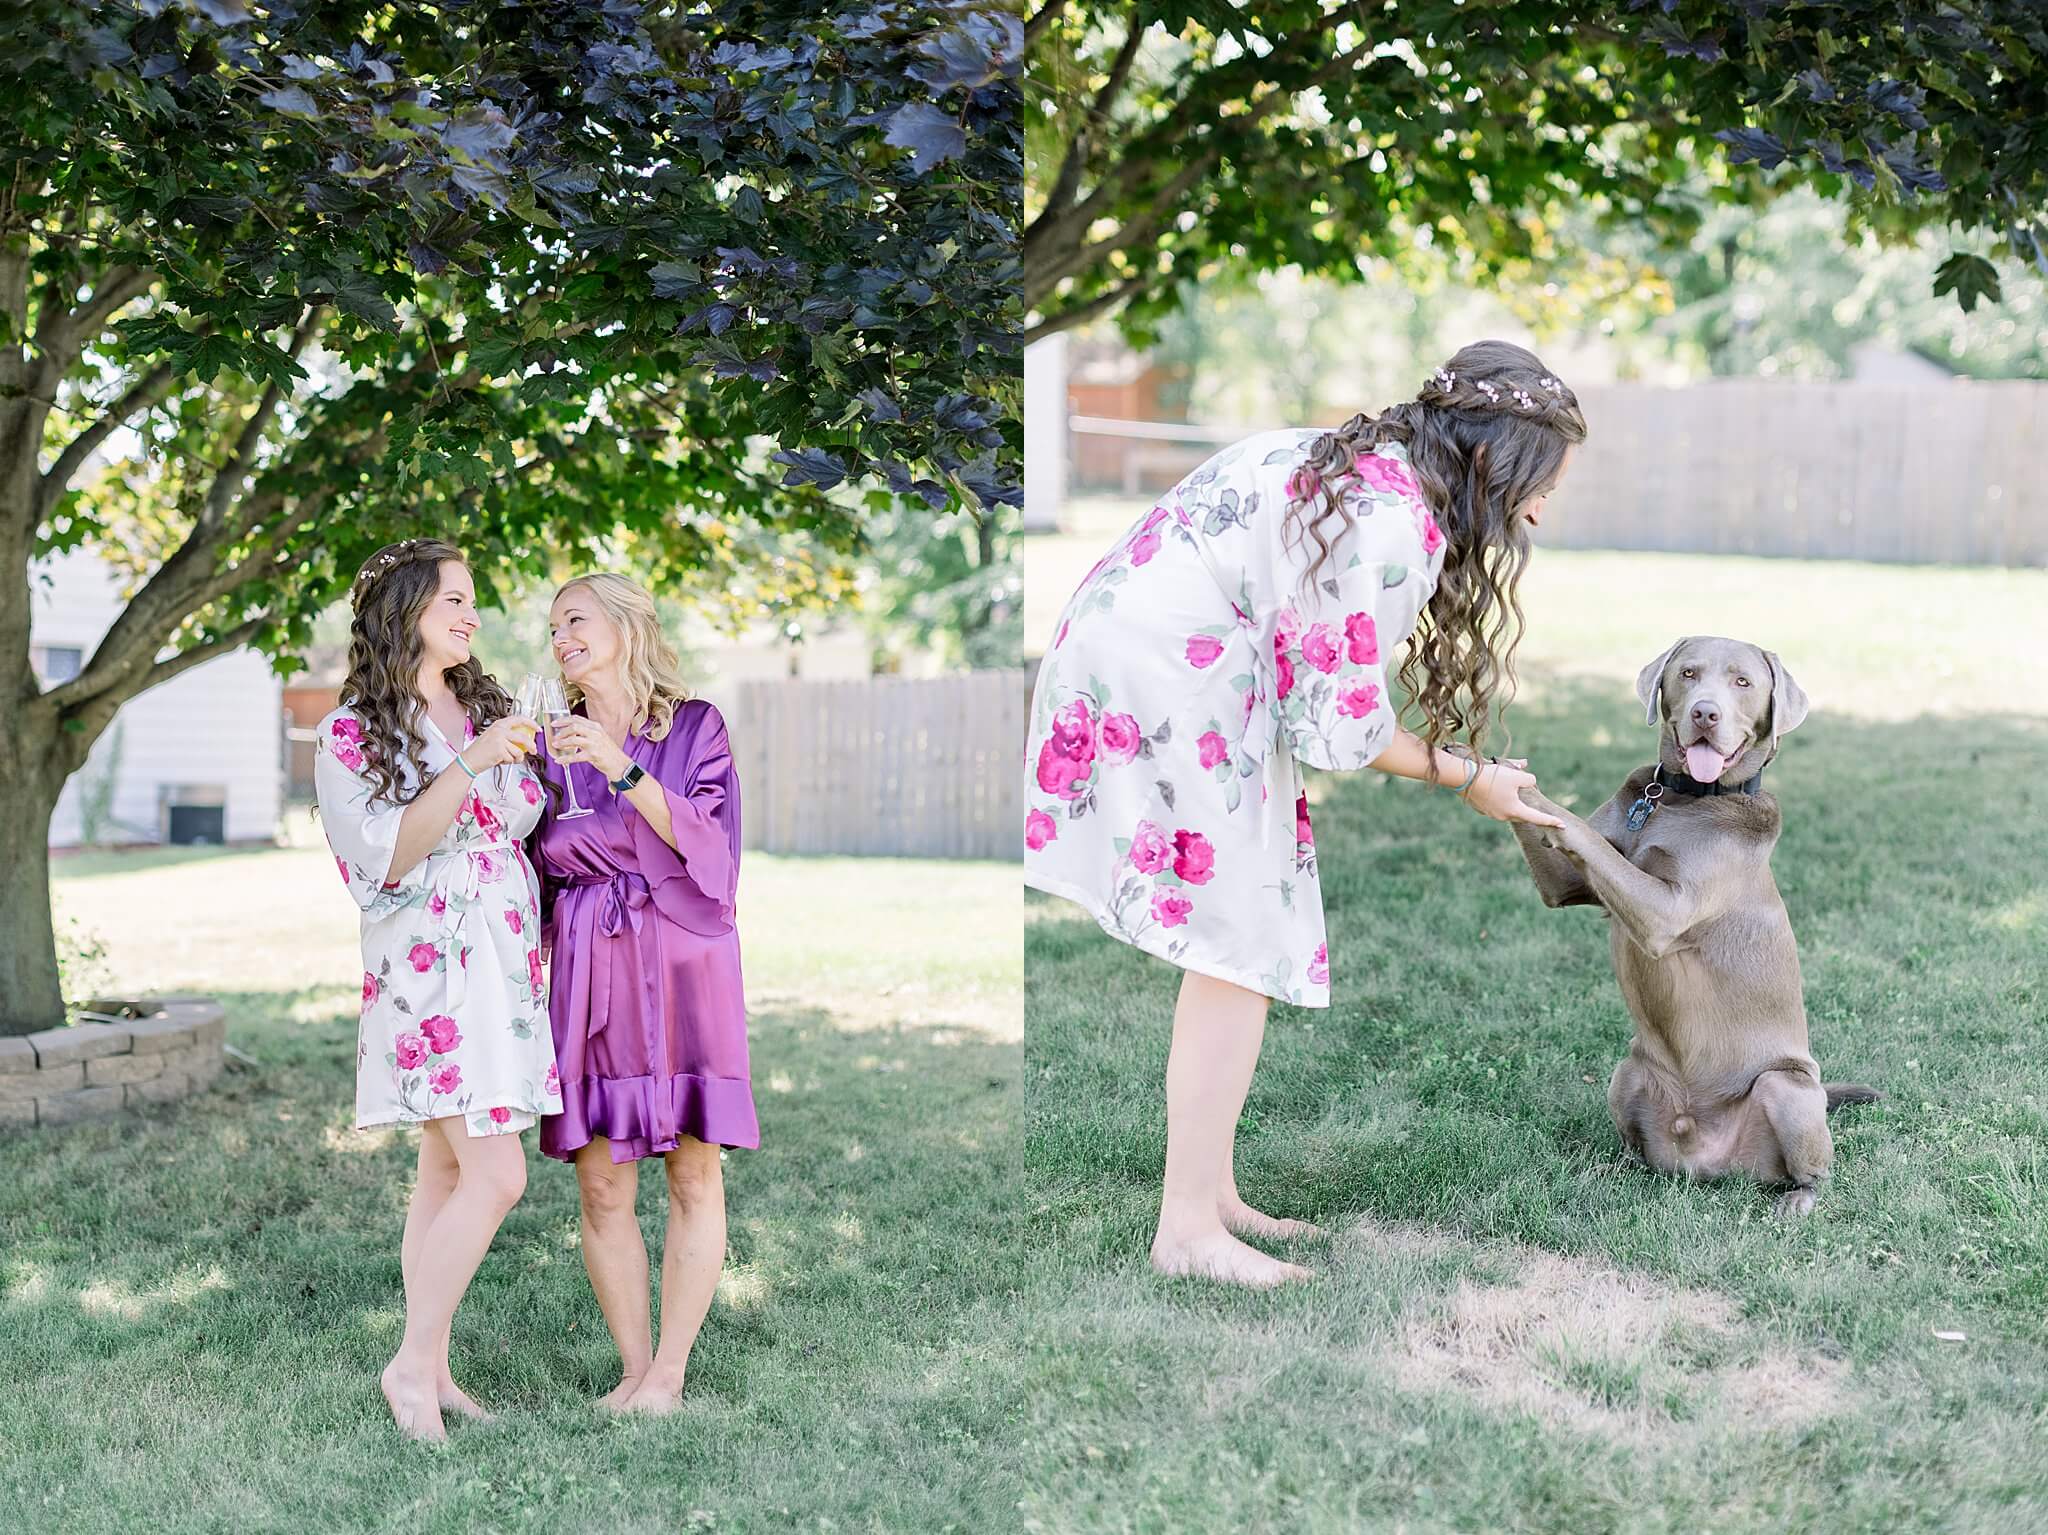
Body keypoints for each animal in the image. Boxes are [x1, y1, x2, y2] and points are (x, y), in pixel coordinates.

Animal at [1515, 634, 1875, 1211]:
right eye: (1687, 673)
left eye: (1743, 682)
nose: (1705, 713)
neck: (1681, 798)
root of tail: (1706, 1166)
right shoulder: (1563, 885)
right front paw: (1478, 760)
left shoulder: (1664, 910)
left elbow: (1578, 831)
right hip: (1628, 1070)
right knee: (1637, 1143)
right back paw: (1615, 1167)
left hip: (1787, 1088)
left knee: (1811, 1170)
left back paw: (1797, 1202)